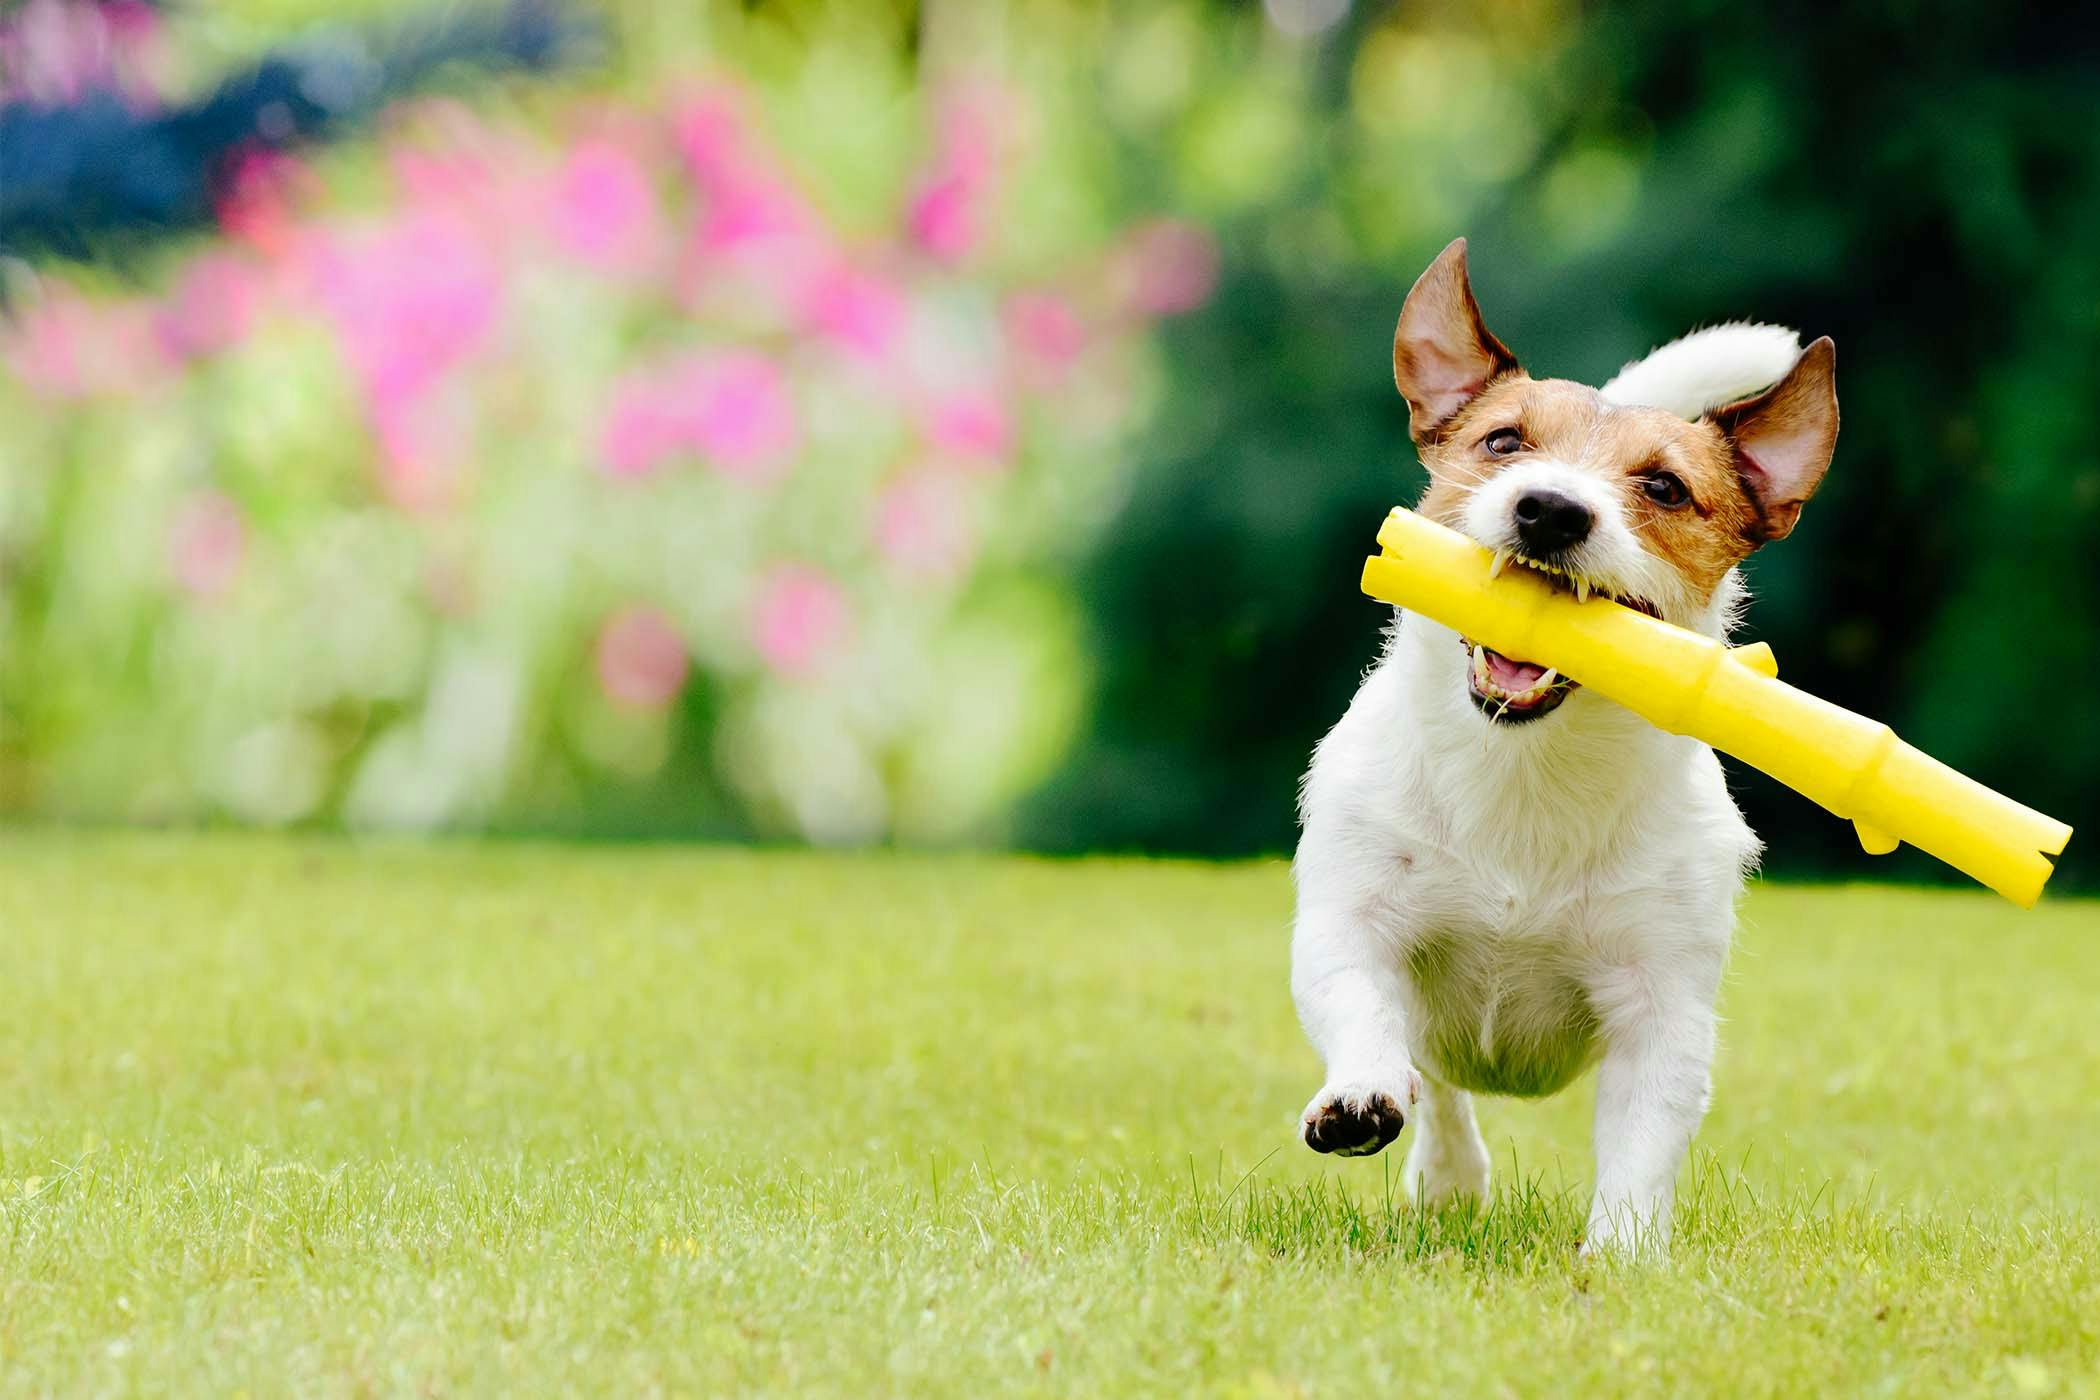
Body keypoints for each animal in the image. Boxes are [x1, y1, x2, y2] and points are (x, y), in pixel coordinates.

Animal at [1293, 235, 1839, 1250]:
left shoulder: (1662, 1004)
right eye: (1505, 442)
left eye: (1665, 486)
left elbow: (1642, 1142)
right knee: (1440, 1084)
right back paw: (1448, 1173)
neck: (1527, 772)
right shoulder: (1352, 916)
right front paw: (1359, 1095)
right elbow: (1361, 1003)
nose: (1550, 509)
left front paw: (1619, 1258)